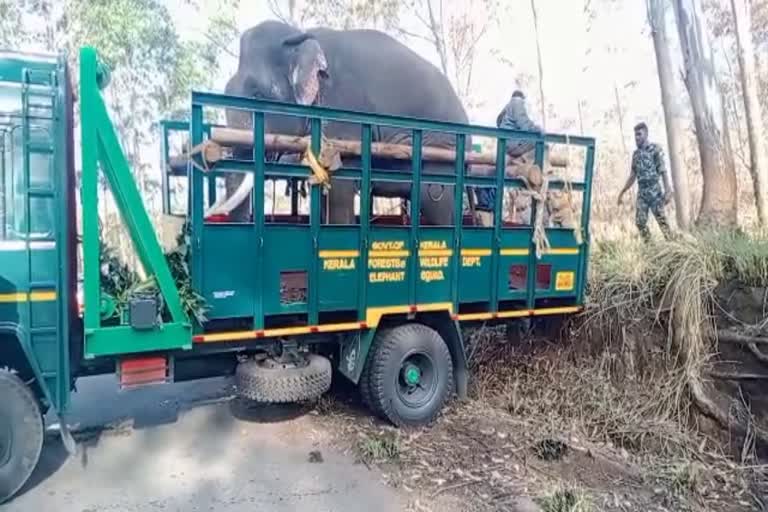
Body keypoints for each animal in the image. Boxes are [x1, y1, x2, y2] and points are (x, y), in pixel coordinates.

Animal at [219, 20, 464, 224]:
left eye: (257, 95)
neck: (300, 34)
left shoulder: (344, 113)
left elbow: (339, 188)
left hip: (440, 151)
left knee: (434, 203)